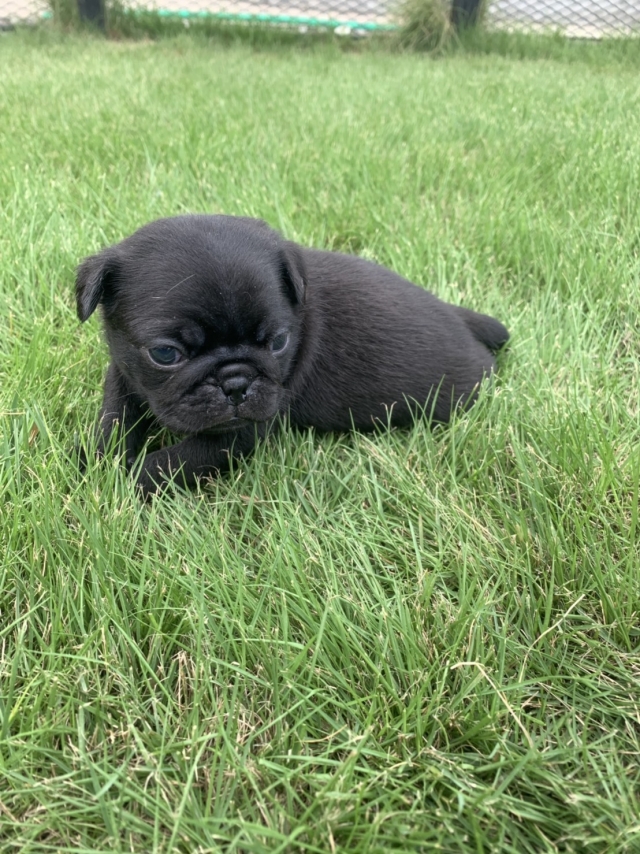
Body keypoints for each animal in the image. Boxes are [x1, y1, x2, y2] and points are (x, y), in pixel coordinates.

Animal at [76, 215, 508, 496]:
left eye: (279, 342)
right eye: (166, 354)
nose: (236, 382)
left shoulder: (238, 434)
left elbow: (167, 464)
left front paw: (115, 482)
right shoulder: (124, 372)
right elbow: (114, 418)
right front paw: (98, 459)